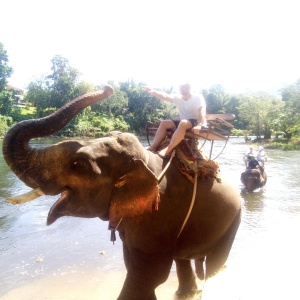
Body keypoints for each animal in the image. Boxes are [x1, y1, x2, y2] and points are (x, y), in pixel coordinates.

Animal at [2, 85, 241, 300]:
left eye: (78, 164)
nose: (108, 88)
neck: (144, 161)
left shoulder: (160, 216)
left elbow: (149, 274)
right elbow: (134, 267)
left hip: (232, 222)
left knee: (214, 264)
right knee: (183, 258)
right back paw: (186, 293)